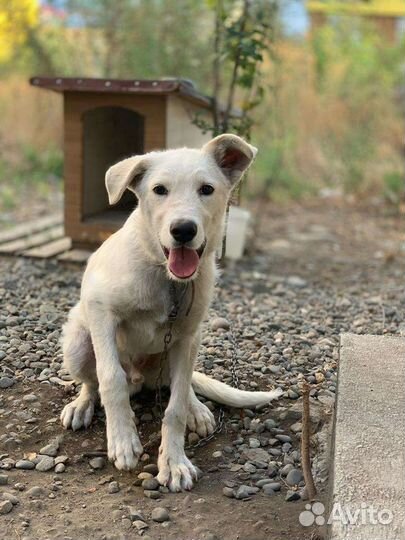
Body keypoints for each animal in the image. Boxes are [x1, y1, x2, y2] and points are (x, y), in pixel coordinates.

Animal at [60, 136, 280, 494]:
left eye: (207, 189)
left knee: (185, 382)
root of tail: (141, 378)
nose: (183, 230)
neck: (167, 277)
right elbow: (110, 378)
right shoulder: (101, 310)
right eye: (159, 190)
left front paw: (174, 462)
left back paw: (197, 409)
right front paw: (123, 440)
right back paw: (82, 405)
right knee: (92, 381)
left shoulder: (187, 336)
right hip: (77, 342)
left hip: (183, 349)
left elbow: (174, 407)